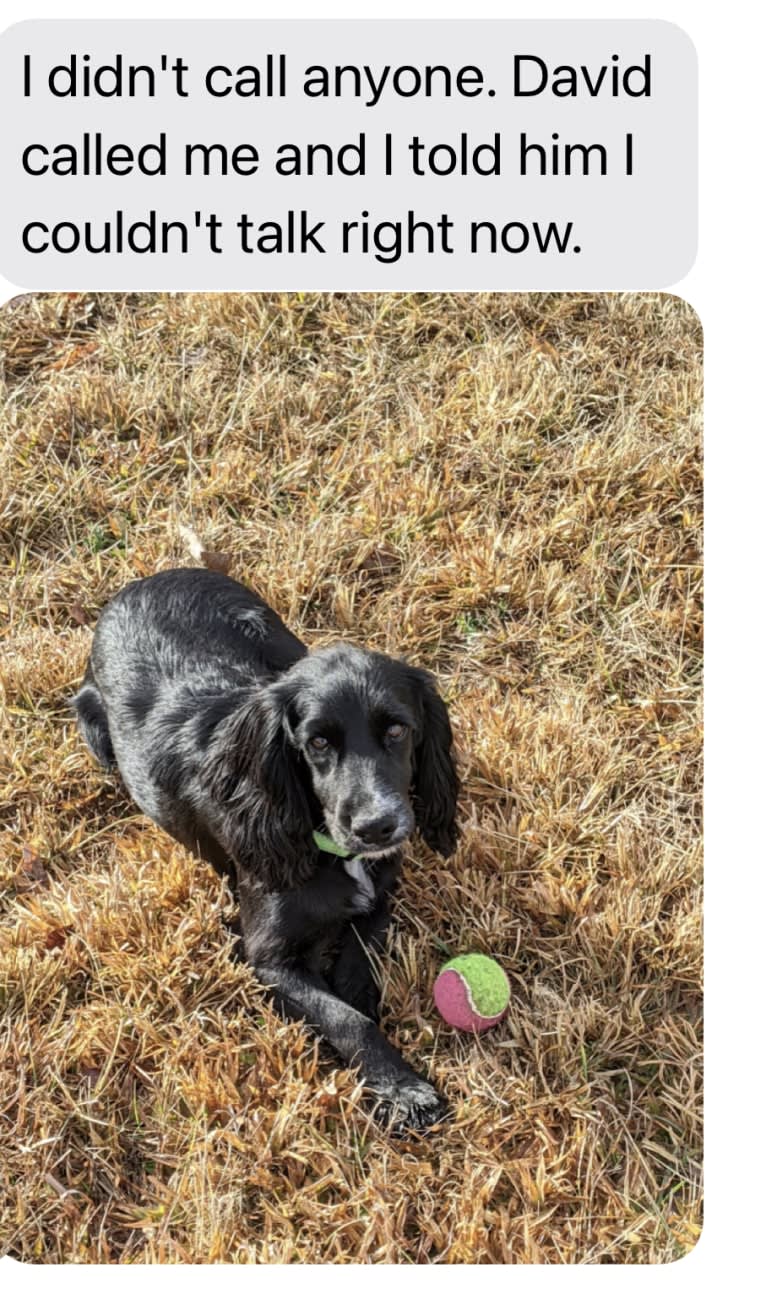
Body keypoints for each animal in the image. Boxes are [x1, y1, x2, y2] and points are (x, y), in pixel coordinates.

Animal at [71, 569, 458, 1133]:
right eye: (317, 743)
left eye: (397, 729)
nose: (378, 827)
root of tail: (151, 578)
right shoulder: (266, 957)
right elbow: (346, 1019)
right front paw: (403, 1088)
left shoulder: (382, 897)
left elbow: (359, 962)